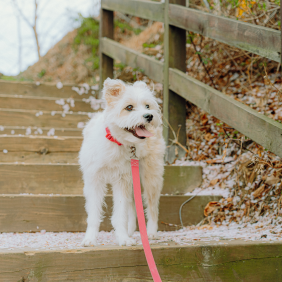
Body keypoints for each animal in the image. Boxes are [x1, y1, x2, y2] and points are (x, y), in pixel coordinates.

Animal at [79, 78, 165, 246]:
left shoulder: (121, 181)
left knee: (152, 207)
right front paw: (90, 238)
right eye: (129, 107)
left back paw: (151, 232)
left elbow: (120, 213)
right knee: (133, 205)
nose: (149, 116)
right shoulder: (95, 181)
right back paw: (131, 231)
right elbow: (94, 214)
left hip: (151, 177)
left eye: (147, 106)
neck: (115, 142)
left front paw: (123, 238)